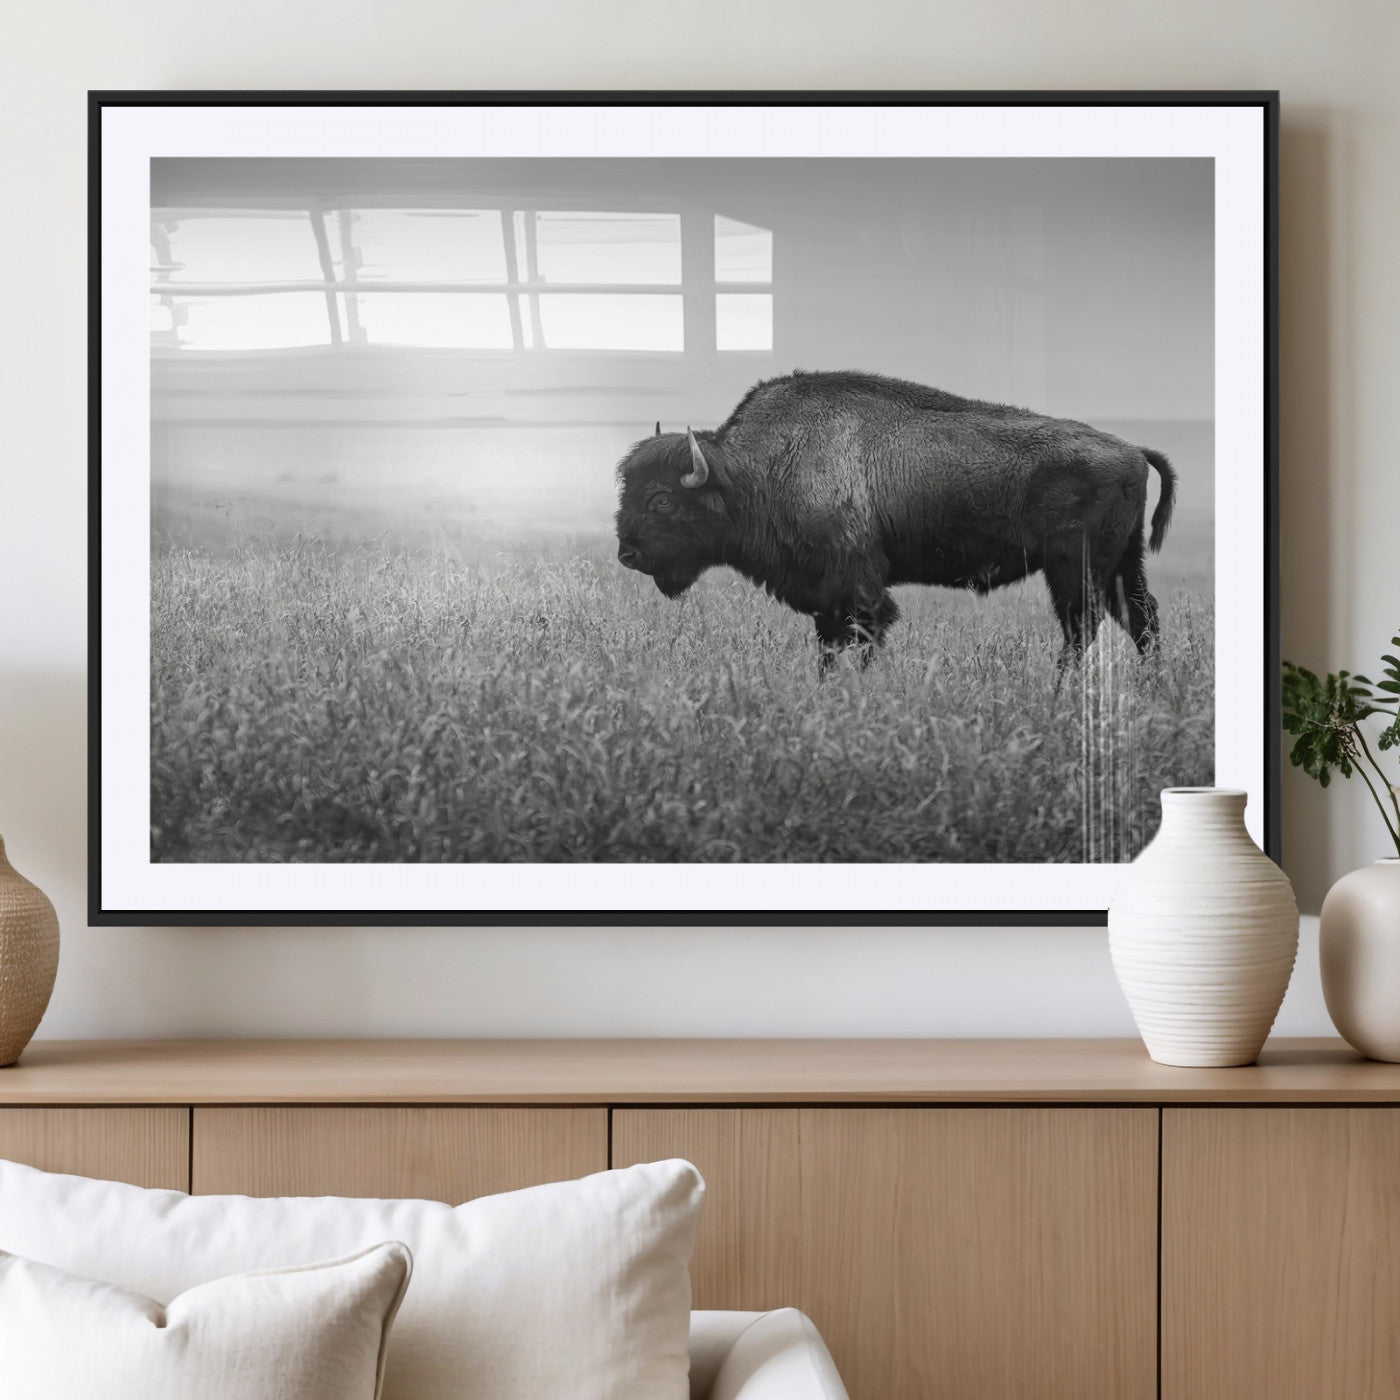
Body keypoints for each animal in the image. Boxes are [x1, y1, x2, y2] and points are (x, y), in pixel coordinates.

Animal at [614, 370, 1176, 675]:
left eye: (662, 500)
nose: (627, 554)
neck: (755, 470)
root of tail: (1132, 449)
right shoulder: (826, 600)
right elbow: (829, 647)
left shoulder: (860, 591)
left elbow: (864, 638)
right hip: (1122, 563)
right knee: (1140, 618)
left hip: (1073, 568)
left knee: (1083, 627)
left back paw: (1059, 691)